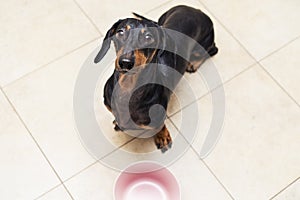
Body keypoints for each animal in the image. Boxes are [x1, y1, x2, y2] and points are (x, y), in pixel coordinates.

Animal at [94, 4, 218, 152]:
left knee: (211, 51)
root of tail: (196, 10)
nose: (125, 62)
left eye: (148, 37)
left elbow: (160, 126)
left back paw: (193, 64)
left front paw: (162, 137)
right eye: (120, 32)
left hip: (204, 46)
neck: (127, 87)